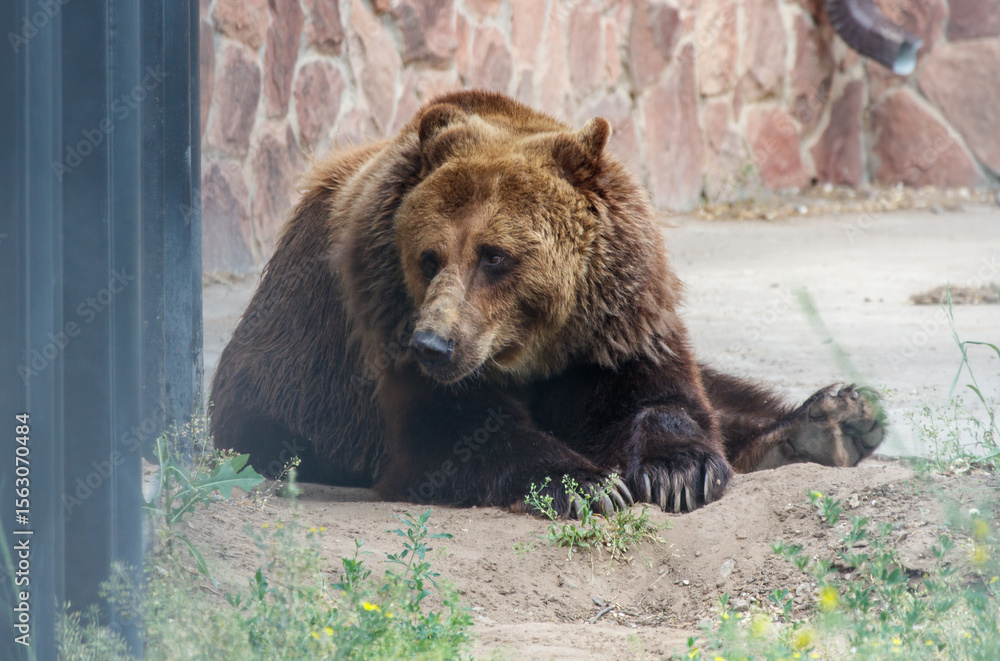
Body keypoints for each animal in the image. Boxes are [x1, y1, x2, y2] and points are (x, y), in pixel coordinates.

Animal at [210, 90, 885, 517]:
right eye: (428, 256)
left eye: (494, 255)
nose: (434, 344)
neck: (531, 346)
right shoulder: (381, 320)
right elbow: (453, 434)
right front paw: (588, 484)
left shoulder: (617, 318)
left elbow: (664, 398)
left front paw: (676, 472)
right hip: (279, 389)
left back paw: (836, 419)